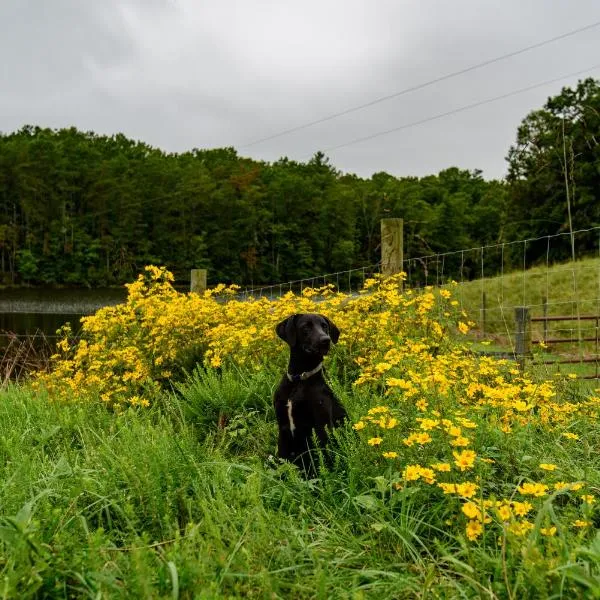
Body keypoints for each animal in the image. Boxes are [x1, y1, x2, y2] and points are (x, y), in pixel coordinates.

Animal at [274, 314, 346, 474]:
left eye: (324, 326)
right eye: (306, 327)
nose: (326, 340)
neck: (299, 379)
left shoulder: (321, 427)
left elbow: (320, 461)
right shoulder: (283, 428)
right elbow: (282, 461)